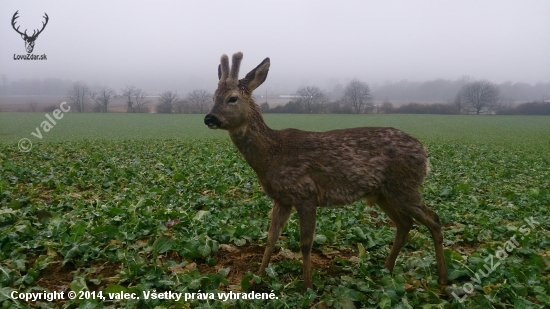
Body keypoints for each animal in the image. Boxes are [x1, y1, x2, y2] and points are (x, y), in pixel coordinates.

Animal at [205, 51, 450, 290]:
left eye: (232, 98)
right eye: (213, 97)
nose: (209, 118)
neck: (271, 154)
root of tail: (424, 153)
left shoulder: (306, 193)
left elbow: (305, 243)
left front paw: (308, 287)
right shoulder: (281, 199)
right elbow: (271, 238)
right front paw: (257, 278)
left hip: (404, 187)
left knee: (434, 219)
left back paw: (442, 279)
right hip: (383, 193)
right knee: (405, 223)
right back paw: (387, 270)